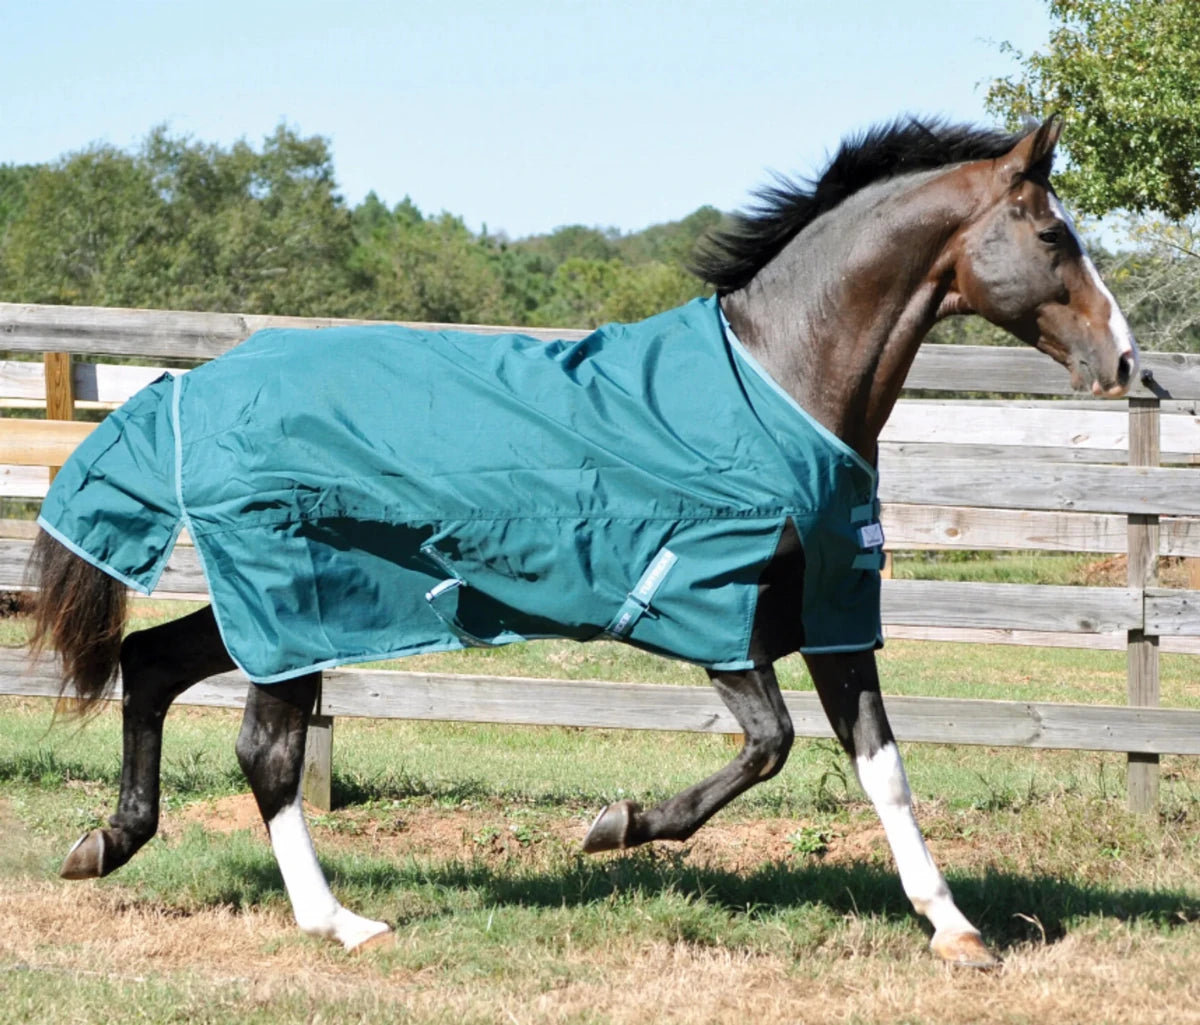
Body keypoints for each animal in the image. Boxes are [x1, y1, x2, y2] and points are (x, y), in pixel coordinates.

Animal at [27, 115, 1137, 967]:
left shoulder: (829, 617)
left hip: (283, 613)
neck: (776, 383)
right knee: (265, 748)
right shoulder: (710, 613)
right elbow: (769, 745)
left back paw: (105, 842)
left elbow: (883, 765)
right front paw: (616, 826)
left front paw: (957, 930)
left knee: (151, 661)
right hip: (296, 601)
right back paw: (340, 922)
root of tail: (192, 388)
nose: (1124, 360)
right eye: (1052, 235)